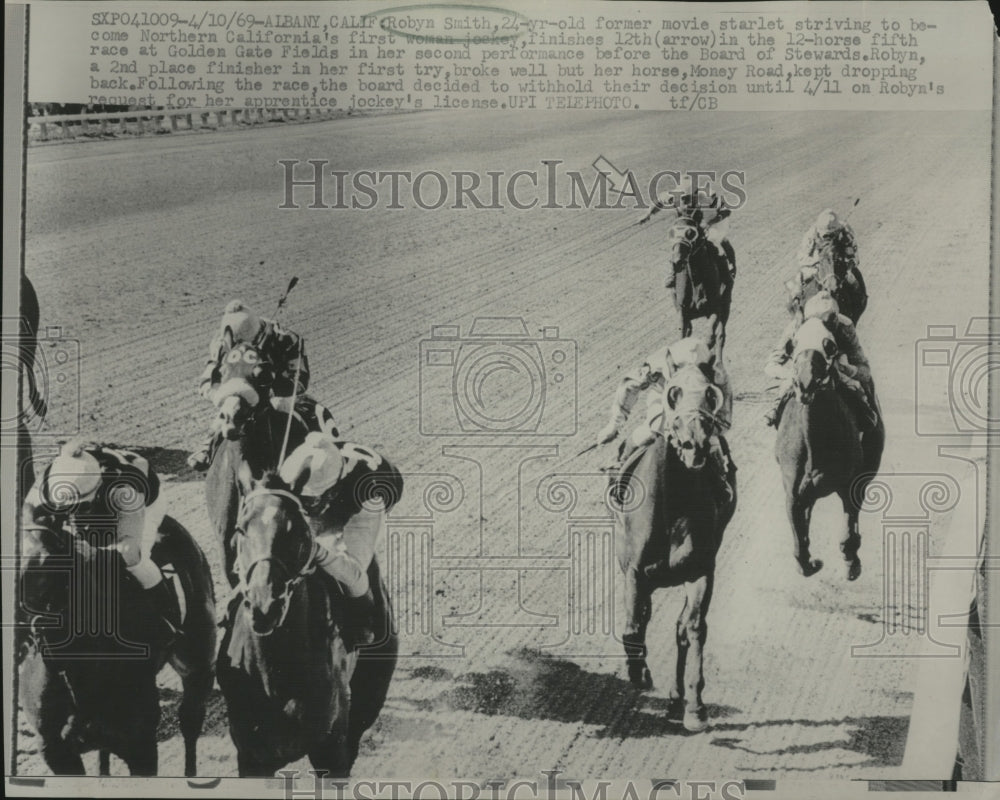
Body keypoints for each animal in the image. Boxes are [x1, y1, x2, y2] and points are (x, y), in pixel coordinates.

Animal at [217, 468, 396, 776]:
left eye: (297, 531)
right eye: (241, 529)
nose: (265, 604)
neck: (273, 675)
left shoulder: (331, 751)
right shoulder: (252, 757)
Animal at [608, 368, 736, 732]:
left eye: (708, 406)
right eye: (675, 409)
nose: (695, 447)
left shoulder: (701, 570)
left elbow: (693, 628)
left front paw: (695, 707)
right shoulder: (635, 572)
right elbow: (633, 627)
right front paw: (638, 673)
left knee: (682, 628)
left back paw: (679, 700)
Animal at [772, 320, 884, 580]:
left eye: (830, 346)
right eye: (793, 346)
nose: (805, 383)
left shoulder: (850, 484)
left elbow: (848, 533)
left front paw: (851, 561)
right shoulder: (792, 493)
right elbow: (800, 549)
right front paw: (811, 561)